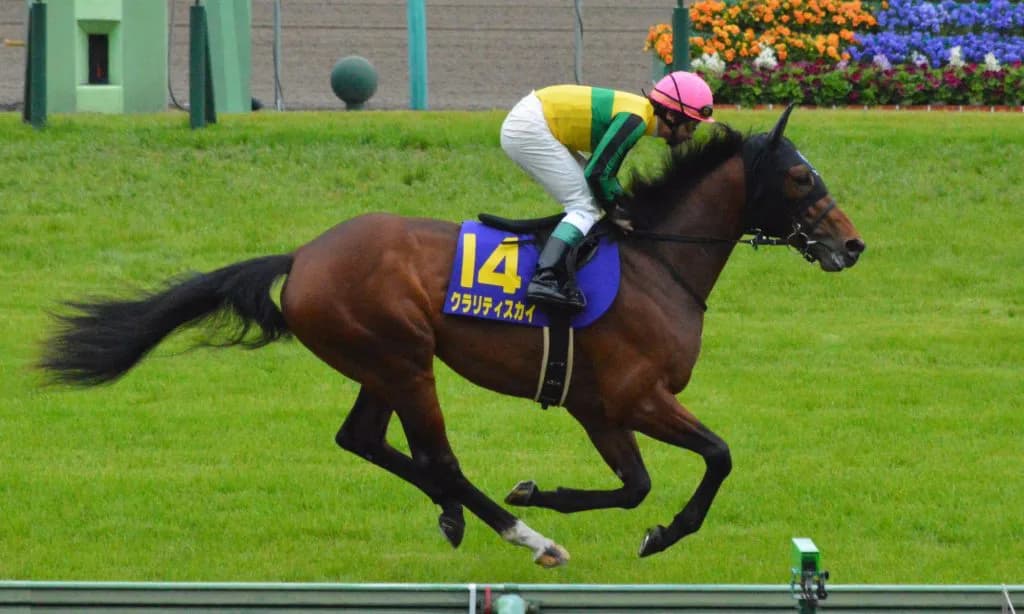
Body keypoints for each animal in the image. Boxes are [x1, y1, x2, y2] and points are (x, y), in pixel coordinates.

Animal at [38, 105, 864, 568]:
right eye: (799, 179)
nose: (852, 246)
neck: (657, 261)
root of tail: (303, 257)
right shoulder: (635, 396)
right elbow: (715, 459)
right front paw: (655, 532)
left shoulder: (597, 406)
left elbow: (634, 486)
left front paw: (554, 494)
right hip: (404, 359)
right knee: (437, 455)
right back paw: (525, 536)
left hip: (380, 363)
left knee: (364, 440)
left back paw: (457, 513)